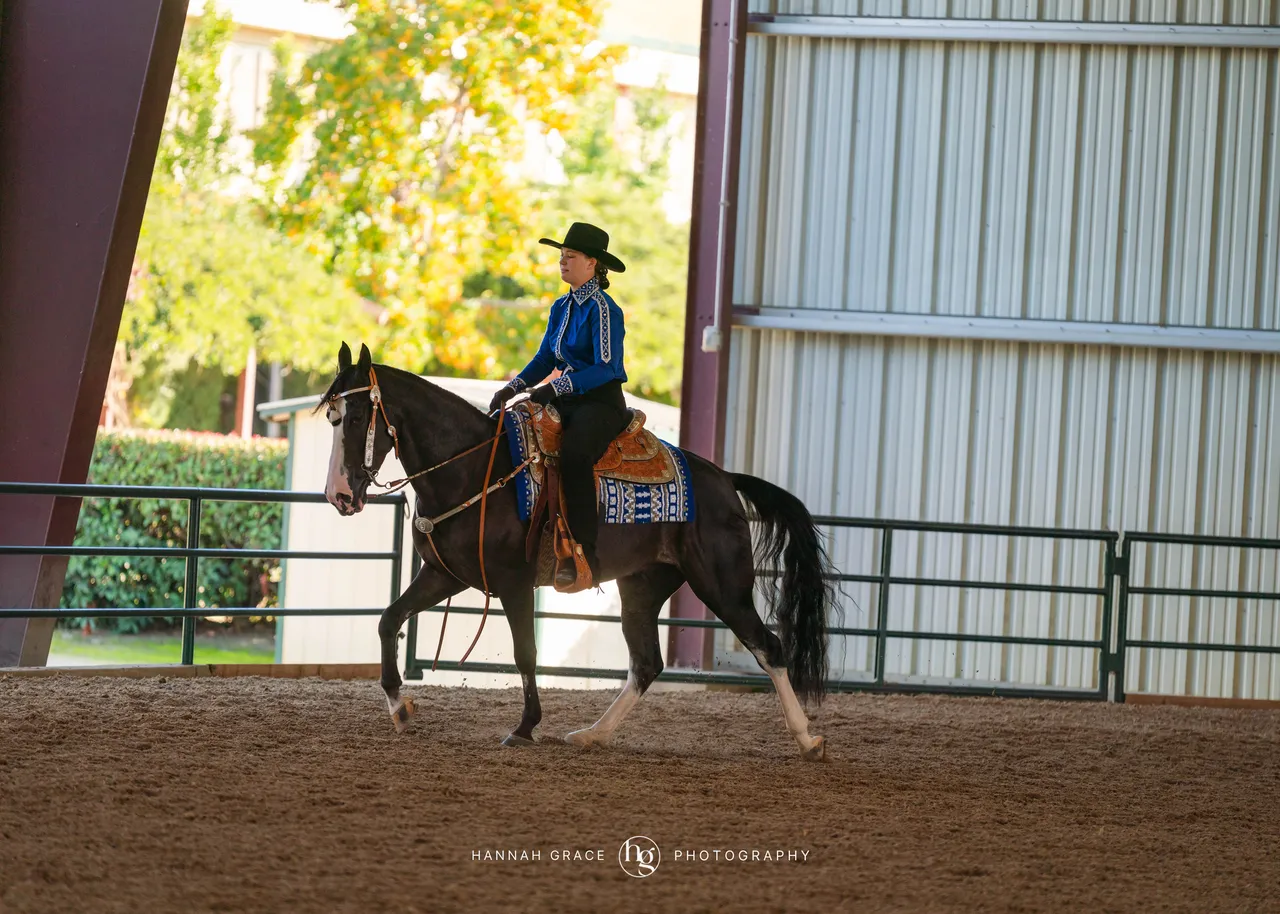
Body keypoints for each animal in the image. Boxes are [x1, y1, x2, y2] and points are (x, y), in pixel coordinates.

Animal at [320, 342, 835, 760]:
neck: (475, 470)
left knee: (768, 647)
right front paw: (400, 707)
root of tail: (726, 479)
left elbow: (525, 653)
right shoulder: (445, 574)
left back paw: (807, 739)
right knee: (646, 663)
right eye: (332, 418)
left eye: (359, 417)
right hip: (642, 587)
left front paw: (525, 728)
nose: (339, 495)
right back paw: (592, 734)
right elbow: (389, 620)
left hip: (723, 585)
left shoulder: (513, 582)